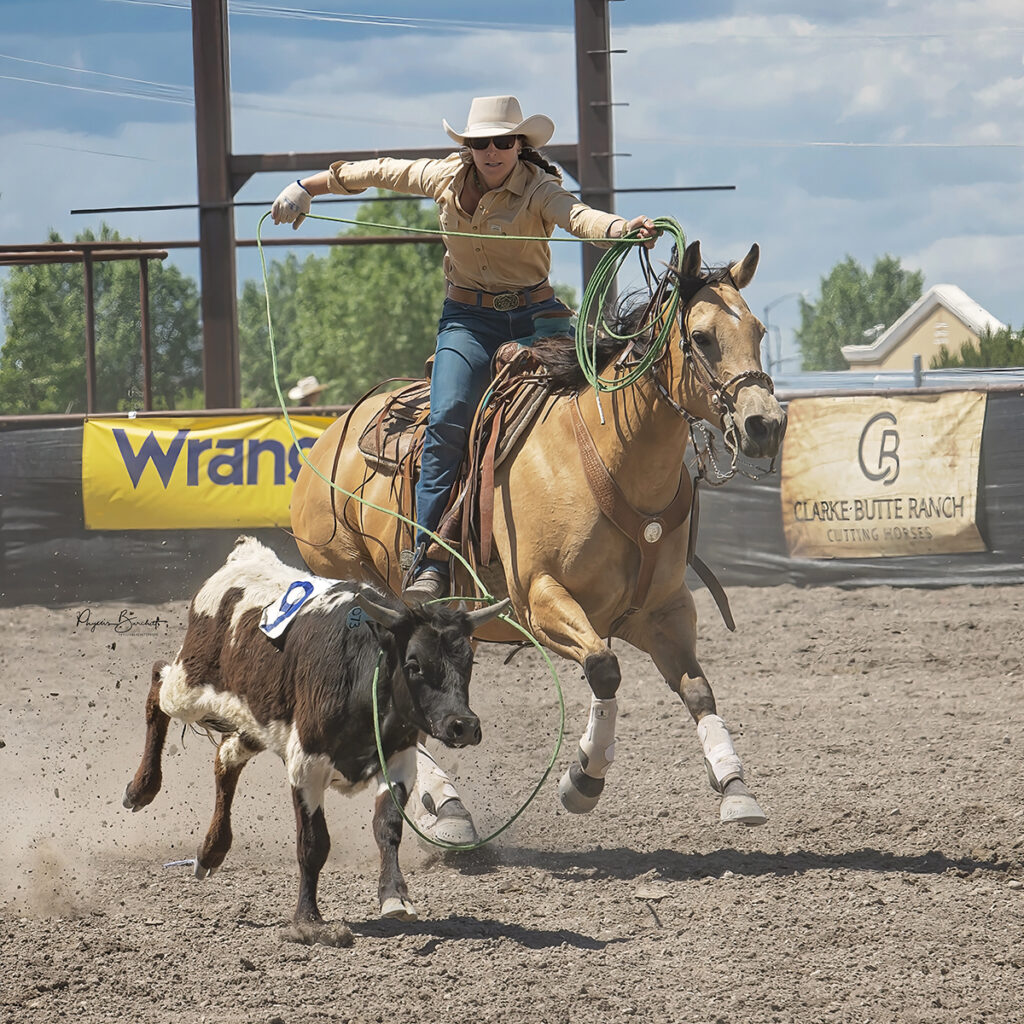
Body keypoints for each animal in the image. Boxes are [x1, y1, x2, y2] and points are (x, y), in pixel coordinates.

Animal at [121, 540, 505, 933]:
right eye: (413, 664)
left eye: (468, 662)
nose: (463, 725)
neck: (360, 674)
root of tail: (244, 557)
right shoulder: (306, 764)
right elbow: (313, 843)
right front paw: (308, 920)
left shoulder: (398, 760)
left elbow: (387, 828)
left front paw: (395, 896)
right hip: (189, 685)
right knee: (157, 683)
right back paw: (141, 788)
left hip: (258, 719)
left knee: (226, 759)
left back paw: (212, 850)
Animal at [292, 241, 786, 839]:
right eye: (702, 337)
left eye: (759, 331)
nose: (766, 425)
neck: (611, 457)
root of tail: (323, 444)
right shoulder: (540, 599)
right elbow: (604, 668)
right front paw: (582, 779)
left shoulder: (662, 610)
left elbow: (696, 687)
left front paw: (735, 787)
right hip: (363, 592)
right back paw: (448, 806)